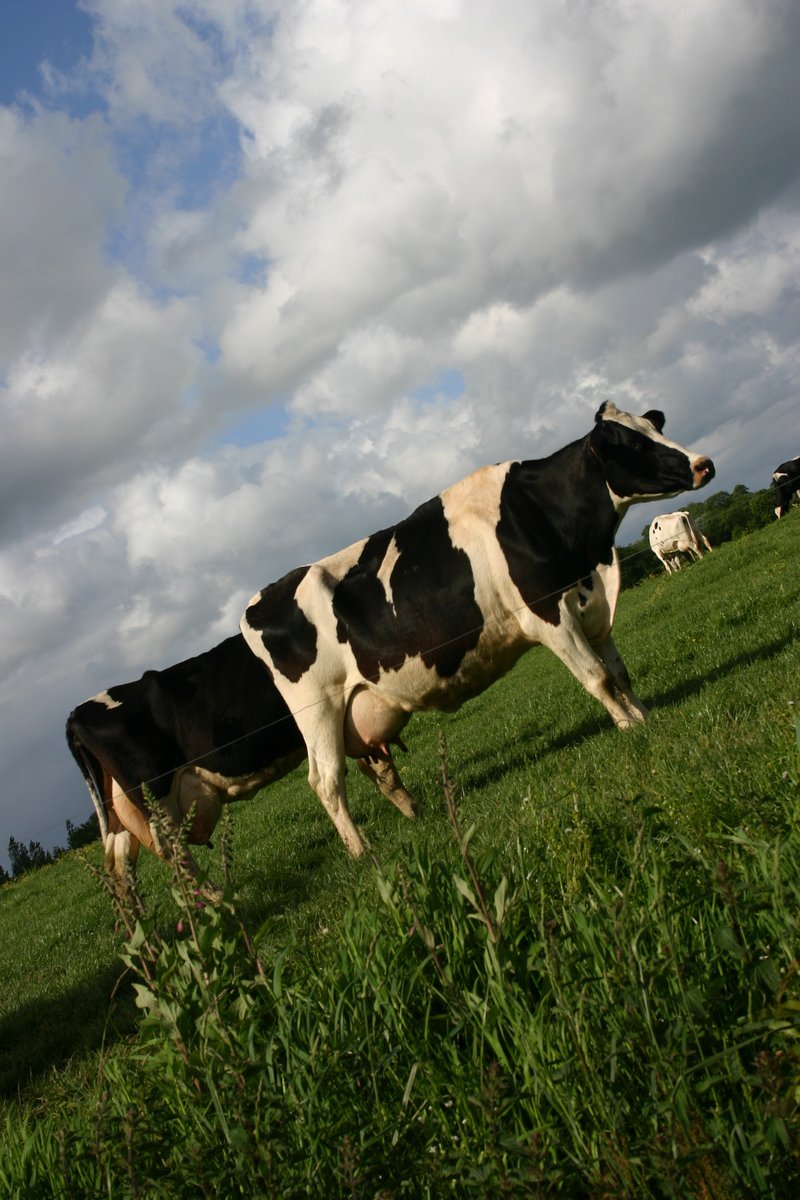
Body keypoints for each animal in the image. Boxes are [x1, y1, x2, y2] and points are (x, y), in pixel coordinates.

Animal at [66, 633, 417, 888]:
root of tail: (77, 712)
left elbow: (382, 770)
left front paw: (414, 814)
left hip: (120, 814)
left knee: (120, 864)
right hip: (156, 795)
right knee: (173, 850)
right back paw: (213, 898)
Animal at [241, 403, 714, 854]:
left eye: (655, 426)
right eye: (630, 443)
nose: (704, 464)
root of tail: (256, 603)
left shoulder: (593, 606)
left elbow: (619, 673)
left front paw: (645, 717)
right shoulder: (547, 614)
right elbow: (597, 677)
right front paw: (628, 728)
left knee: (373, 767)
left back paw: (409, 818)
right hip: (318, 709)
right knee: (326, 780)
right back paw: (361, 852)